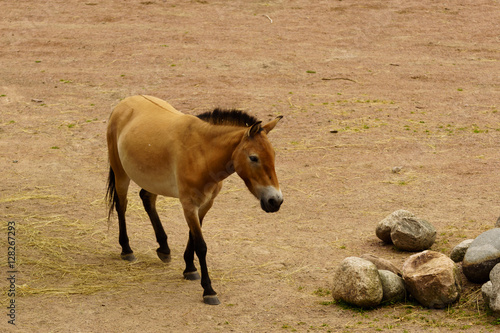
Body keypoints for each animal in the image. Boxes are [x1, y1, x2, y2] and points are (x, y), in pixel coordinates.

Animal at [106, 94, 284, 304]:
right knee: (122, 205)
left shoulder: (205, 204)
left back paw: (164, 249)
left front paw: (189, 269)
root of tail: (125, 102)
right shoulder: (189, 205)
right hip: (120, 173)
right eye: (254, 158)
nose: (275, 201)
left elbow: (193, 235)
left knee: (147, 198)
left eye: (273, 155)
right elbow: (201, 245)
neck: (202, 154)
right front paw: (208, 290)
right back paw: (127, 250)